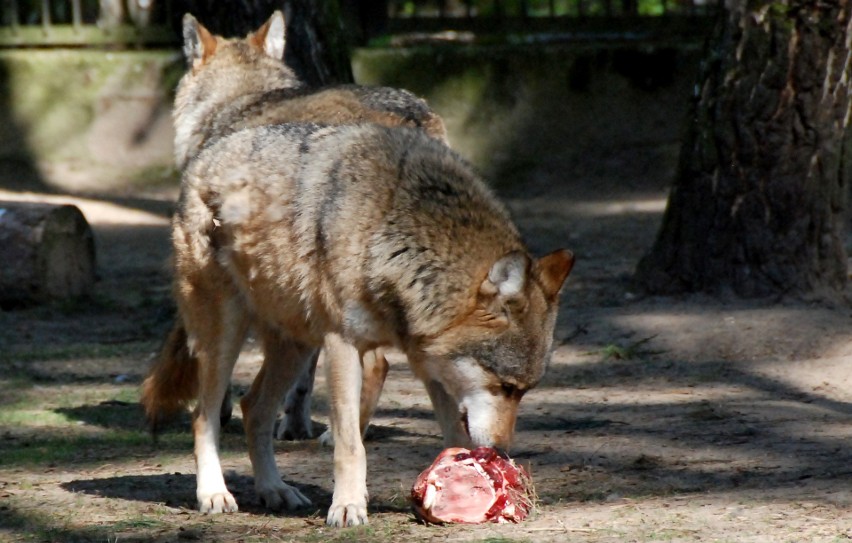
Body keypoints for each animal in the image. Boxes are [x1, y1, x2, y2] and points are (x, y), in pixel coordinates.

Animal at [149, 120, 572, 528]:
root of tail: (204, 155)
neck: (391, 234)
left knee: (253, 408)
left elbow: (452, 431)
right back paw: (214, 494)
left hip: (295, 347)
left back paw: (274, 490)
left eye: (523, 392)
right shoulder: (343, 346)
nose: (500, 451)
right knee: (203, 416)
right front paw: (348, 507)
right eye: (505, 387)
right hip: (225, 338)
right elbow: (351, 445)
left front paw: (460, 481)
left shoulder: (428, 363)